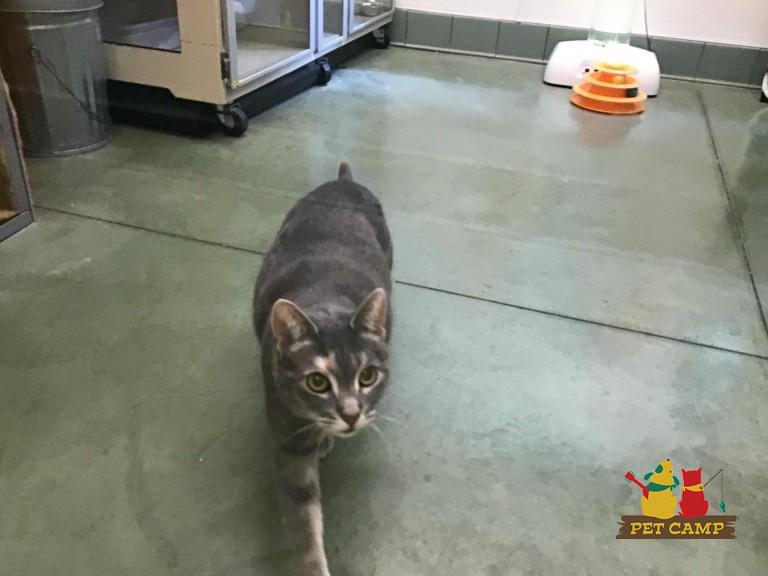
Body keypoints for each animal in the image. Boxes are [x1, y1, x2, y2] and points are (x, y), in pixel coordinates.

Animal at [252, 162, 393, 576]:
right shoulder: (289, 443)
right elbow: (305, 523)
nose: (350, 414)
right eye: (317, 382)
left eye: (367, 376)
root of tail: (343, 180)